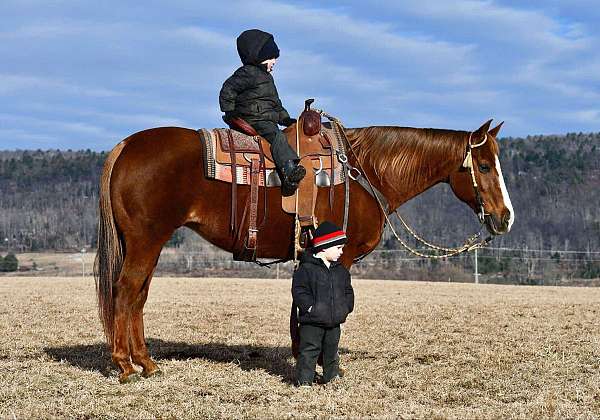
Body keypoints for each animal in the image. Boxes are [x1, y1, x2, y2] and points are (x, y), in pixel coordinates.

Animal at [92, 118, 510, 384]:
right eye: (484, 166)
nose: (505, 217)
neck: (365, 172)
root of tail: (126, 146)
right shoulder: (341, 256)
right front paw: (327, 367)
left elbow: (300, 305)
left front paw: (301, 357)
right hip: (146, 241)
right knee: (125, 292)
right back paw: (125, 366)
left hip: (146, 244)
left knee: (138, 296)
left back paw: (146, 363)